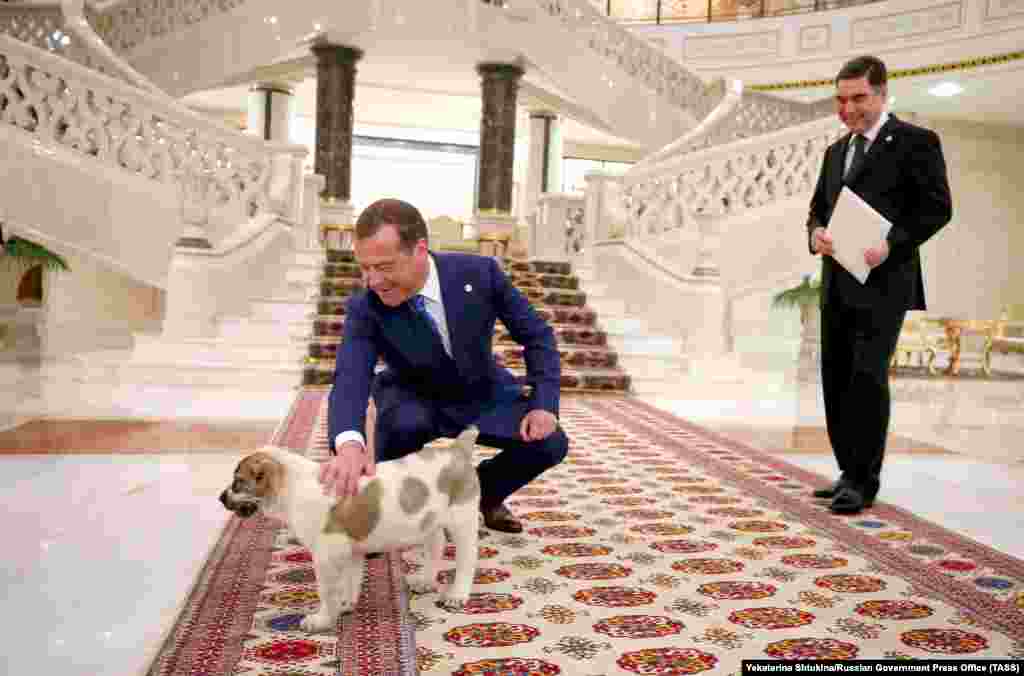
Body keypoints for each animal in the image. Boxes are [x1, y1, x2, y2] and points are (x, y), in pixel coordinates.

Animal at [218, 428, 481, 635]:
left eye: (238, 482)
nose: (221, 497)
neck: (293, 486)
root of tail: (458, 449)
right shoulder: (349, 550)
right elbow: (350, 579)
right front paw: (345, 603)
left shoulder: (326, 555)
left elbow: (327, 590)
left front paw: (322, 619)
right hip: (429, 520)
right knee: (436, 543)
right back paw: (426, 580)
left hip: (462, 519)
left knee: (467, 558)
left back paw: (457, 594)